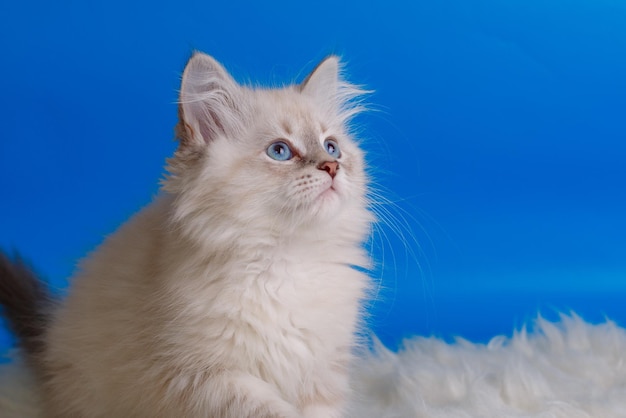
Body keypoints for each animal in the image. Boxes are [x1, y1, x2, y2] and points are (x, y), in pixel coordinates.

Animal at [0, 53, 370, 418]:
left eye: (332, 148)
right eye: (280, 151)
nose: (332, 167)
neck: (288, 257)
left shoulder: (323, 371)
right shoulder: (205, 377)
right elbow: (272, 411)